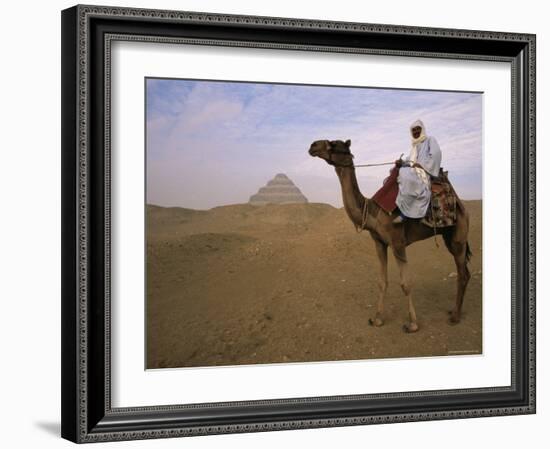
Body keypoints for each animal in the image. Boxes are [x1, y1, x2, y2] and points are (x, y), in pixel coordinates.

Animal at [310, 140, 474, 332]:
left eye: (334, 144)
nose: (313, 145)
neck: (373, 211)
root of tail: (460, 203)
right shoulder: (379, 243)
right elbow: (382, 282)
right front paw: (377, 319)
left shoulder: (397, 243)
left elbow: (406, 283)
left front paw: (412, 324)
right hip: (448, 236)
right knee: (465, 272)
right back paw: (453, 311)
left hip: (459, 236)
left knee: (462, 273)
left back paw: (455, 317)